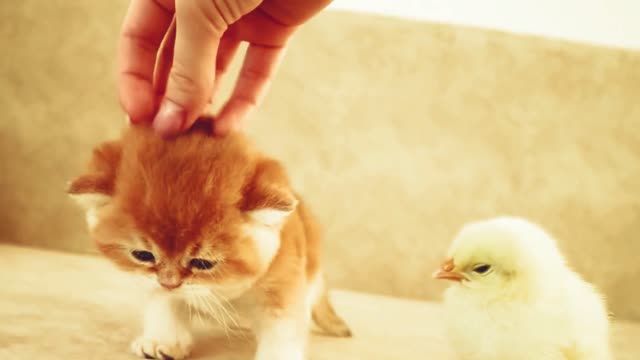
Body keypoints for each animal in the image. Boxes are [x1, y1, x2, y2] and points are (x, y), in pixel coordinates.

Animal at [67, 121, 352, 360]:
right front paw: (164, 341)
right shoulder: (155, 284)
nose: (169, 282)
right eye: (143, 255)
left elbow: (282, 330)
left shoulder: (284, 287)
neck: (224, 290)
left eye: (203, 264)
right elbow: (165, 303)